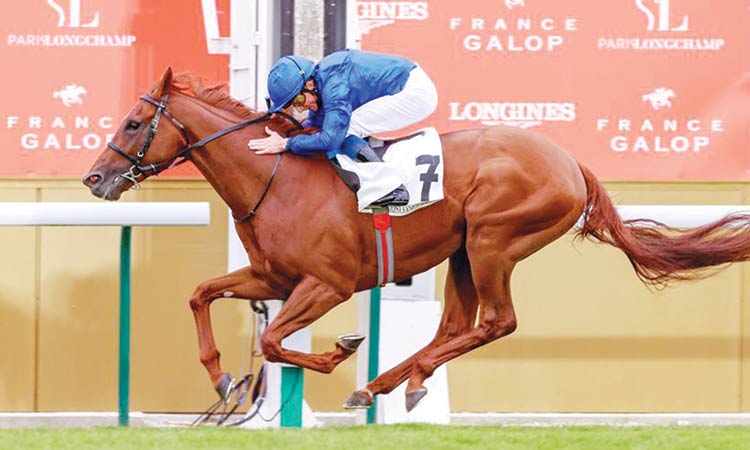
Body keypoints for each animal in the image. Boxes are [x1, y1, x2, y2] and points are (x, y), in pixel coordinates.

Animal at [83, 68, 750, 412]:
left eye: (135, 123)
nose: (95, 178)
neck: (274, 177)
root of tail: (572, 164)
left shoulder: (326, 283)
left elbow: (273, 339)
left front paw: (339, 351)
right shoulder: (273, 276)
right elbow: (201, 294)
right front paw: (224, 379)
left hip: (492, 240)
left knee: (496, 322)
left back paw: (386, 381)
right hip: (463, 252)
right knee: (455, 325)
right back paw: (394, 383)